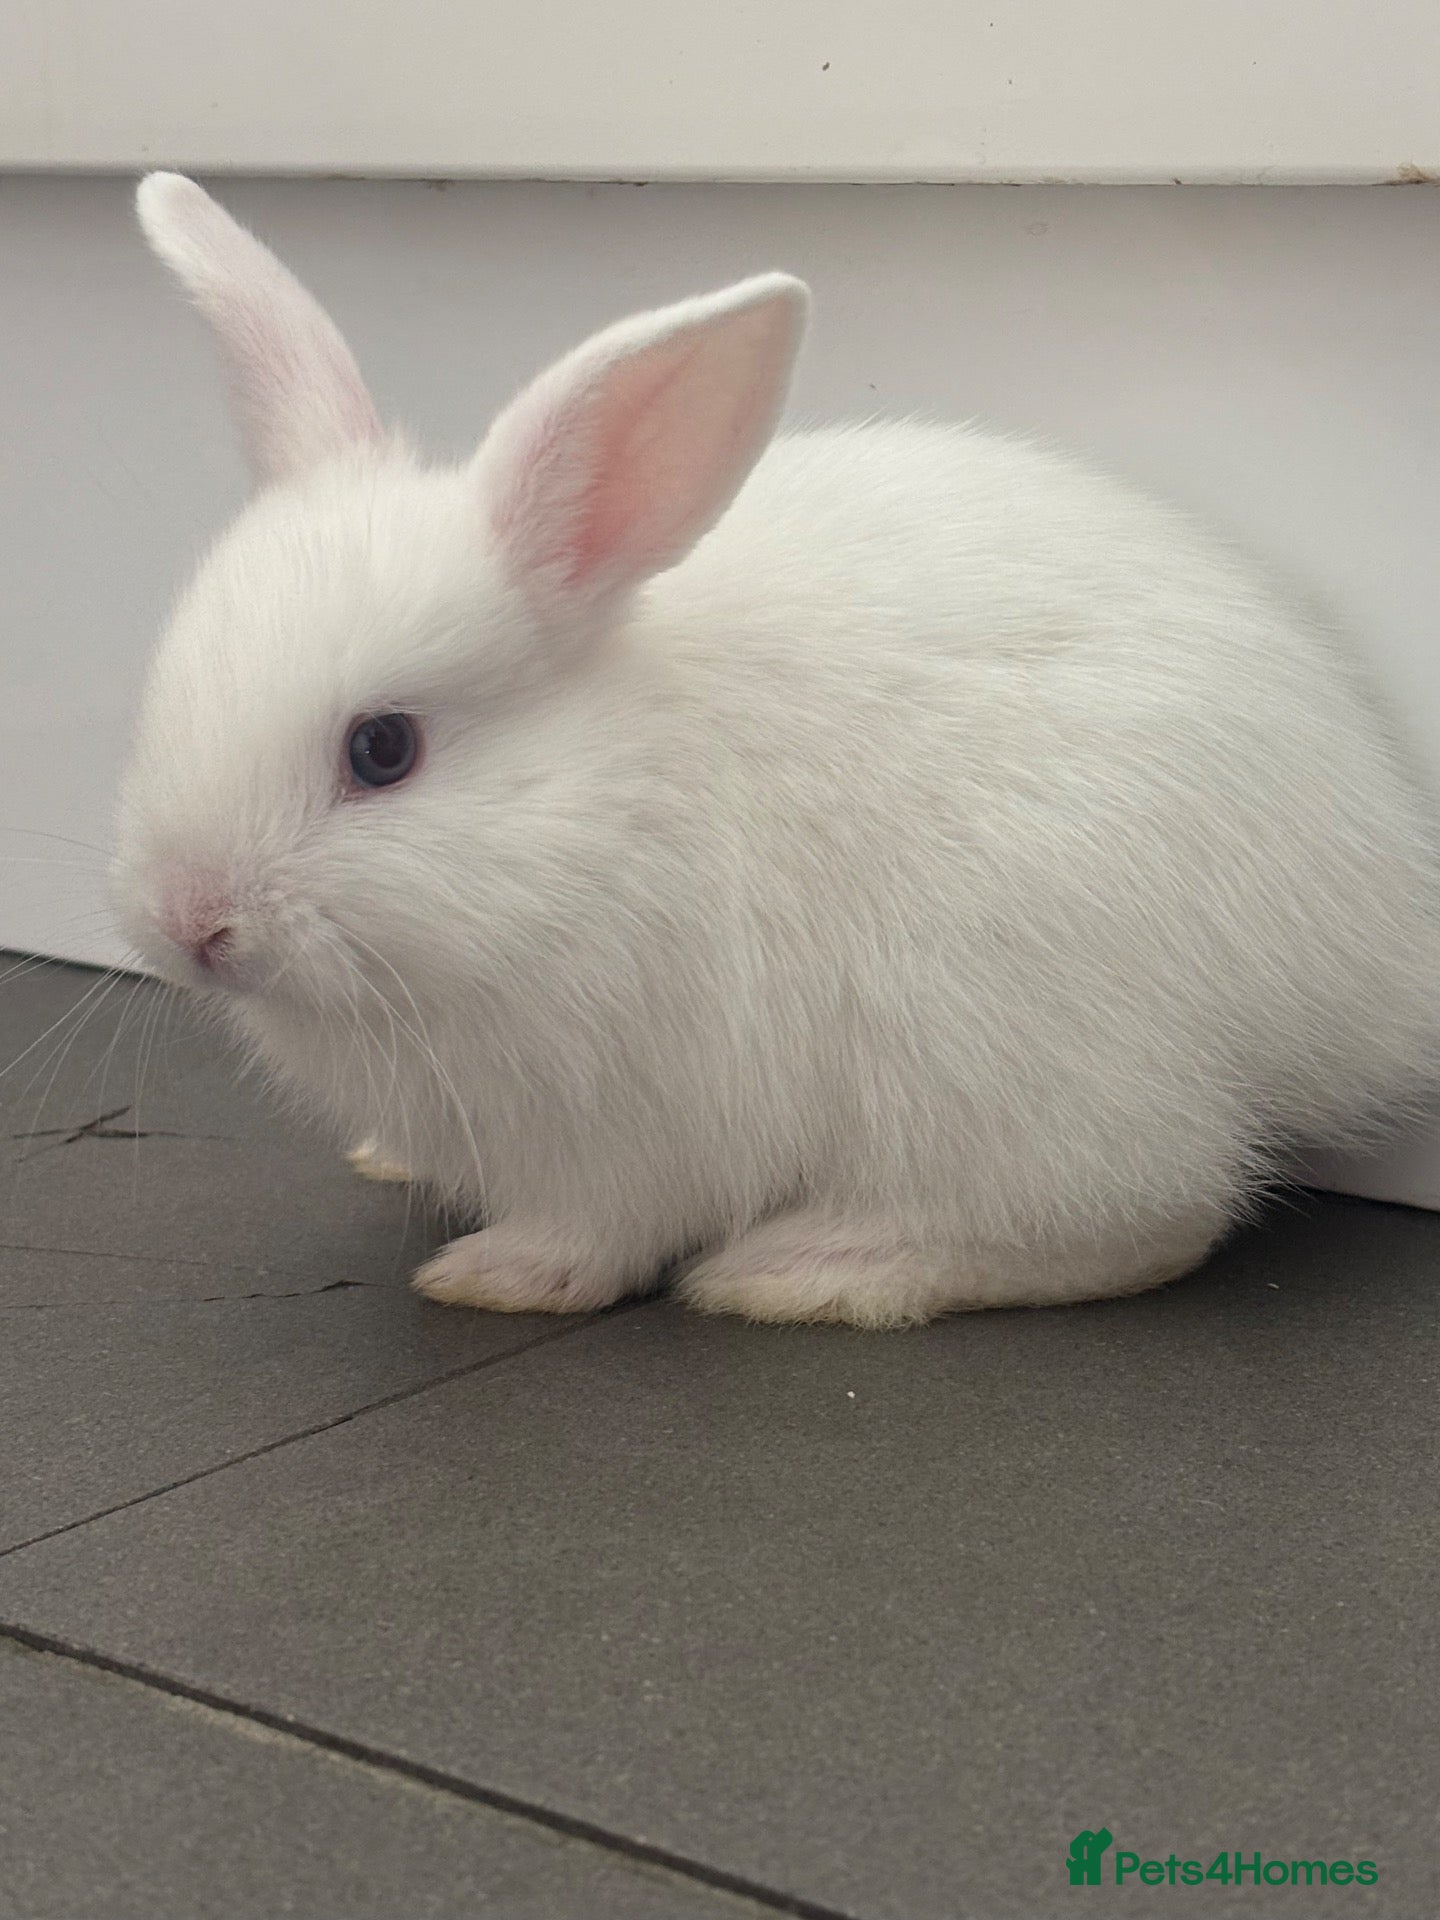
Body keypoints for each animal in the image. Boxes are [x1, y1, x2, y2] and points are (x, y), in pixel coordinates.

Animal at [112, 172, 1440, 1329]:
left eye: (383, 749)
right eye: (164, 692)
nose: (191, 925)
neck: (594, 813)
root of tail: (1382, 954)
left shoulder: (639, 1119)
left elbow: (598, 1232)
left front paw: (496, 1275)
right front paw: (392, 1161)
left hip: (999, 1044)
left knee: (1144, 1215)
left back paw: (803, 1269)